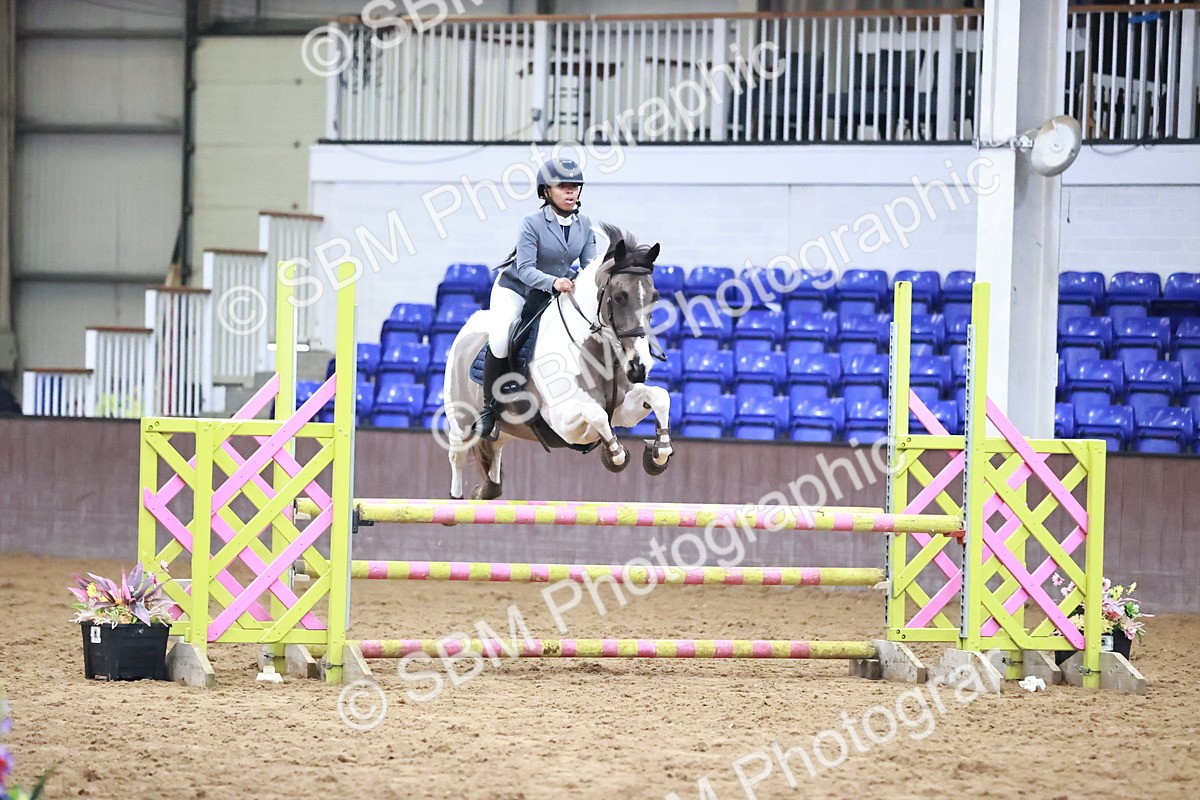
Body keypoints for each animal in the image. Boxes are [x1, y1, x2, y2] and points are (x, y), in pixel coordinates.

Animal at [442, 224, 674, 500]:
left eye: (654, 296)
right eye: (619, 297)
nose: (639, 367)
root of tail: (468, 326)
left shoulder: (623, 410)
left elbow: (660, 396)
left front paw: (658, 455)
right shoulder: (563, 421)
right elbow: (597, 414)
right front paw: (615, 455)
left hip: (508, 429)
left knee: (495, 449)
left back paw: (486, 491)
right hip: (461, 424)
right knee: (457, 456)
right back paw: (456, 499)